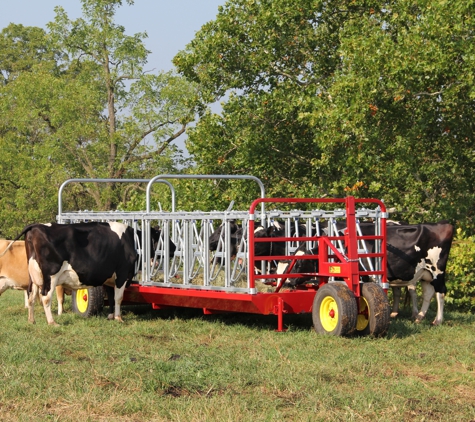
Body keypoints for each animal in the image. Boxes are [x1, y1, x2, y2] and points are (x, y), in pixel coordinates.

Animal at [12, 223, 156, 324]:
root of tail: (36, 226)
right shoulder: (122, 273)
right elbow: (118, 298)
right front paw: (118, 318)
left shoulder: (110, 277)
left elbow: (111, 296)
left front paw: (110, 316)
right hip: (51, 275)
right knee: (45, 297)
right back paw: (52, 322)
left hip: (34, 276)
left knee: (31, 297)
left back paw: (31, 320)